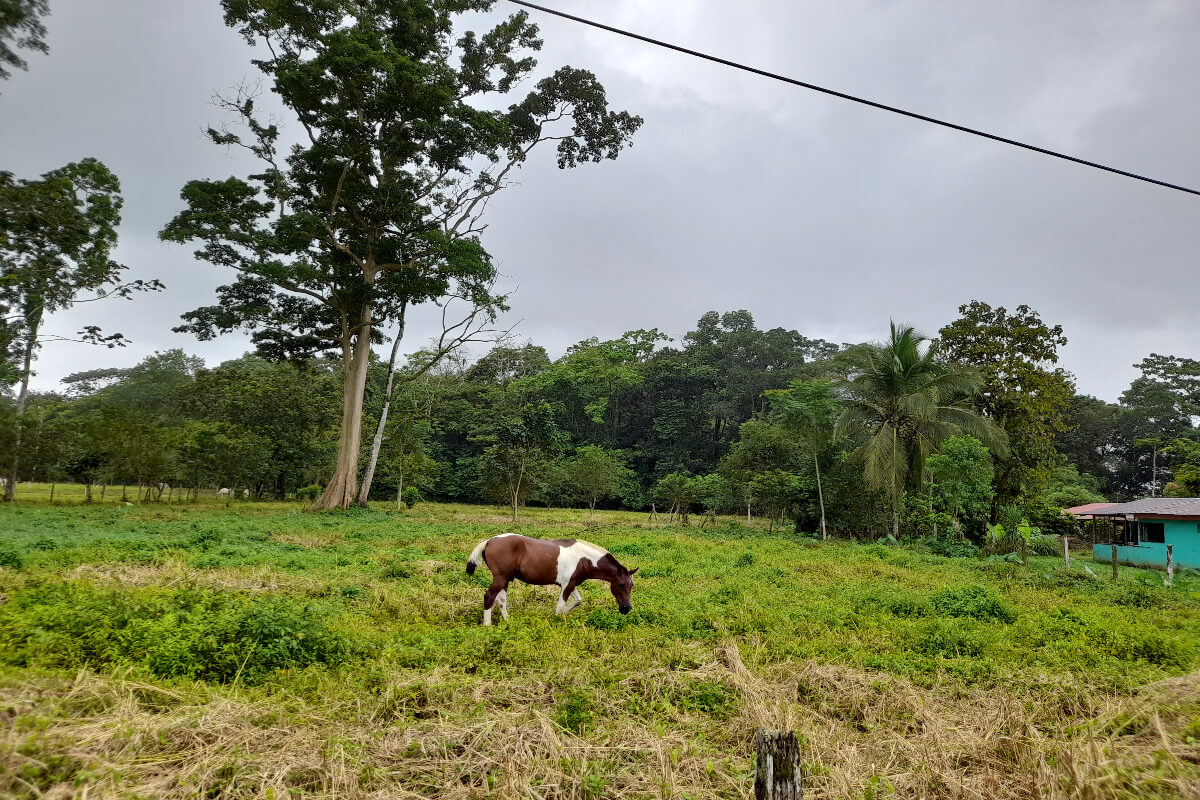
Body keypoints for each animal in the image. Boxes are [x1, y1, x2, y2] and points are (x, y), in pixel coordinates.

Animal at [465, 533, 637, 625]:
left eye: (631, 586)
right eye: (621, 585)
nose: (626, 609)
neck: (584, 558)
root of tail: (489, 541)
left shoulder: (571, 584)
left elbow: (578, 601)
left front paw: (563, 614)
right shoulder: (567, 586)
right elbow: (560, 606)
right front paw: (558, 618)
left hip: (505, 580)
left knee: (501, 599)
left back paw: (508, 621)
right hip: (500, 579)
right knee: (489, 597)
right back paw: (487, 625)